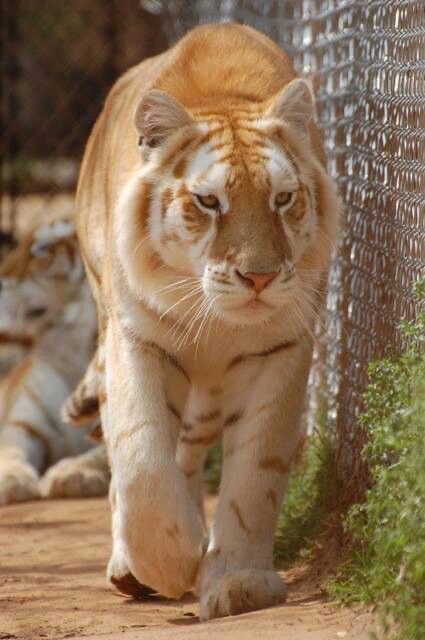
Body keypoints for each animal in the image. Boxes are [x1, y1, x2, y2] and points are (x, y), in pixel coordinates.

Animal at [0, 220, 111, 504]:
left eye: (42, 249)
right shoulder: (25, 425)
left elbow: (104, 451)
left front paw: (73, 473)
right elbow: (10, 450)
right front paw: (10, 479)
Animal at [73, 25, 338, 620]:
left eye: (282, 198)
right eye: (209, 202)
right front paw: (168, 560)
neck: (215, 320)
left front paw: (239, 580)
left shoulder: (279, 352)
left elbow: (253, 476)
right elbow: (141, 456)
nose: (259, 277)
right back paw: (131, 568)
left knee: (191, 449)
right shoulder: (136, 339)